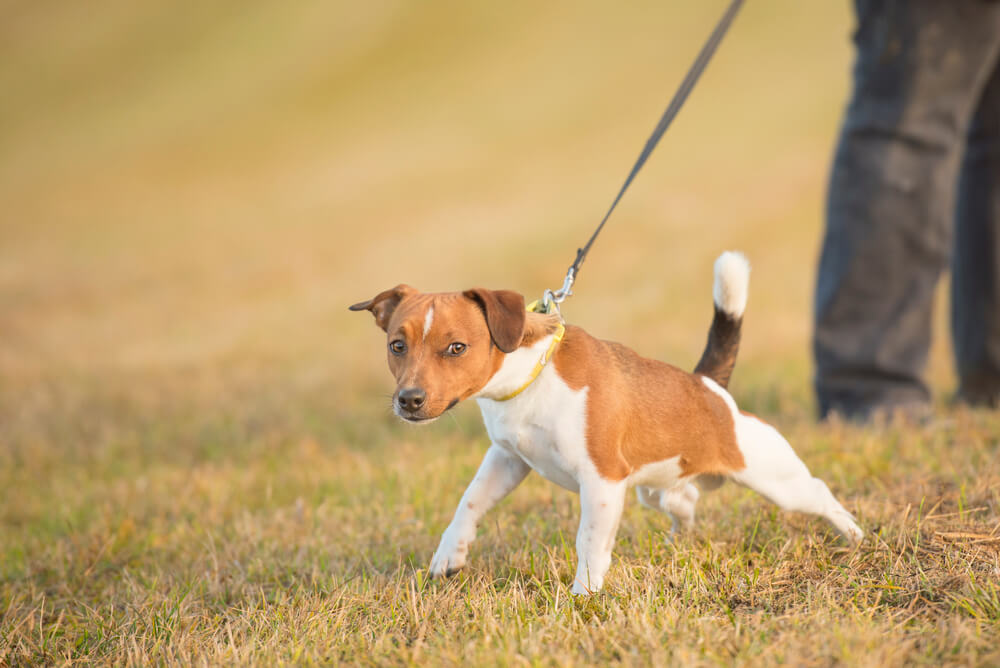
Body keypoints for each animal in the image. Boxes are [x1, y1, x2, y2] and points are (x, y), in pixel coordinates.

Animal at [350, 252, 860, 596]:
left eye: (456, 347)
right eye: (397, 346)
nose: (409, 401)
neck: (531, 379)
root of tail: (708, 386)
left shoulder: (602, 480)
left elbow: (590, 542)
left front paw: (584, 596)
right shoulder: (509, 460)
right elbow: (469, 503)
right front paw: (448, 556)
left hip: (774, 478)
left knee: (818, 493)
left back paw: (855, 537)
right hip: (656, 489)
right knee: (686, 502)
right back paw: (680, 542)